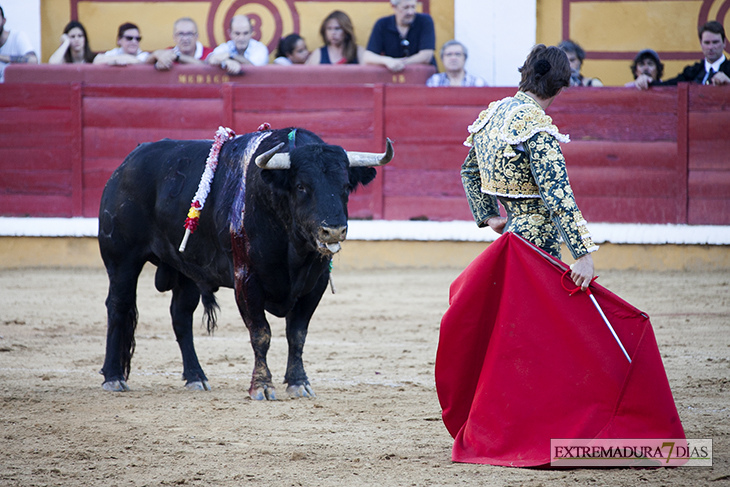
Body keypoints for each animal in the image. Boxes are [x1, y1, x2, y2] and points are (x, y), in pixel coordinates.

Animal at [98, 129, 392, 400]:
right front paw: (261, 386)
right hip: (122, 260)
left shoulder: (315, 284)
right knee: (118, 307)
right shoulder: (247, 280)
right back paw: (113, 378)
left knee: (181, 315)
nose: (333, 231)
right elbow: (261, 333)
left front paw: (299, 383)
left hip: (187, 270)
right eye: (301, 186)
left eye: (345, 186)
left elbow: (297, 334)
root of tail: (128, 161)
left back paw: (196, 377)